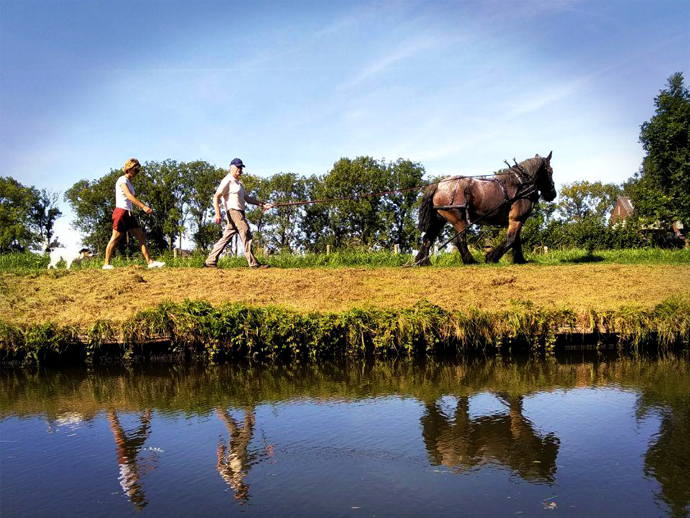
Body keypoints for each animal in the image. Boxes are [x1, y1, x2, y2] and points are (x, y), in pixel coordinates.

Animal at [414, 150, 552, 264]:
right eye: (551, 171)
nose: (553, 194)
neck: (520, 185)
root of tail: (438, 186)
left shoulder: (517, 219)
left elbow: (516, 240)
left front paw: (520, 260)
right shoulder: (517, 218)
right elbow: (511, 239)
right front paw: (492, 257)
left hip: (439, 219)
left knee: (427, 239)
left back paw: (423, 262)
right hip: (458, 219)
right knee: (460, 240)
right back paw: (470, 260)